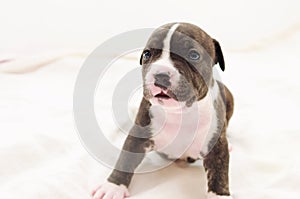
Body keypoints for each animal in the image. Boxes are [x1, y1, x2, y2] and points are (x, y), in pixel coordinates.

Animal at [91, 22, 234, 199]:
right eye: (147, 54)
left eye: (194, 55)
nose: (161, 75)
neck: (180, 113)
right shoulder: (138, 135)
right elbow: (125, 159)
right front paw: (113, 186)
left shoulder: (216, 145)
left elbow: (219, 172)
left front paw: (219, 195)